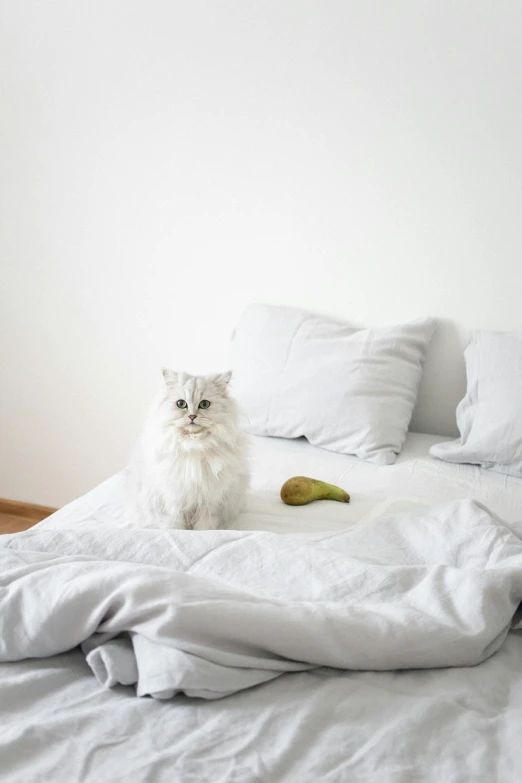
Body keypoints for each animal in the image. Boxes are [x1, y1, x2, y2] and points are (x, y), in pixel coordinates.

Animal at [126, 370, 248, 528]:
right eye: (181, 404)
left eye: (204, 404)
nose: (192, 416)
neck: (193, 444)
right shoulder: (174, 496)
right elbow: (175, 519)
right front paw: (175, 529)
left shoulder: (209, 498)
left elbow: (204, 522)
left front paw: (204, 530)